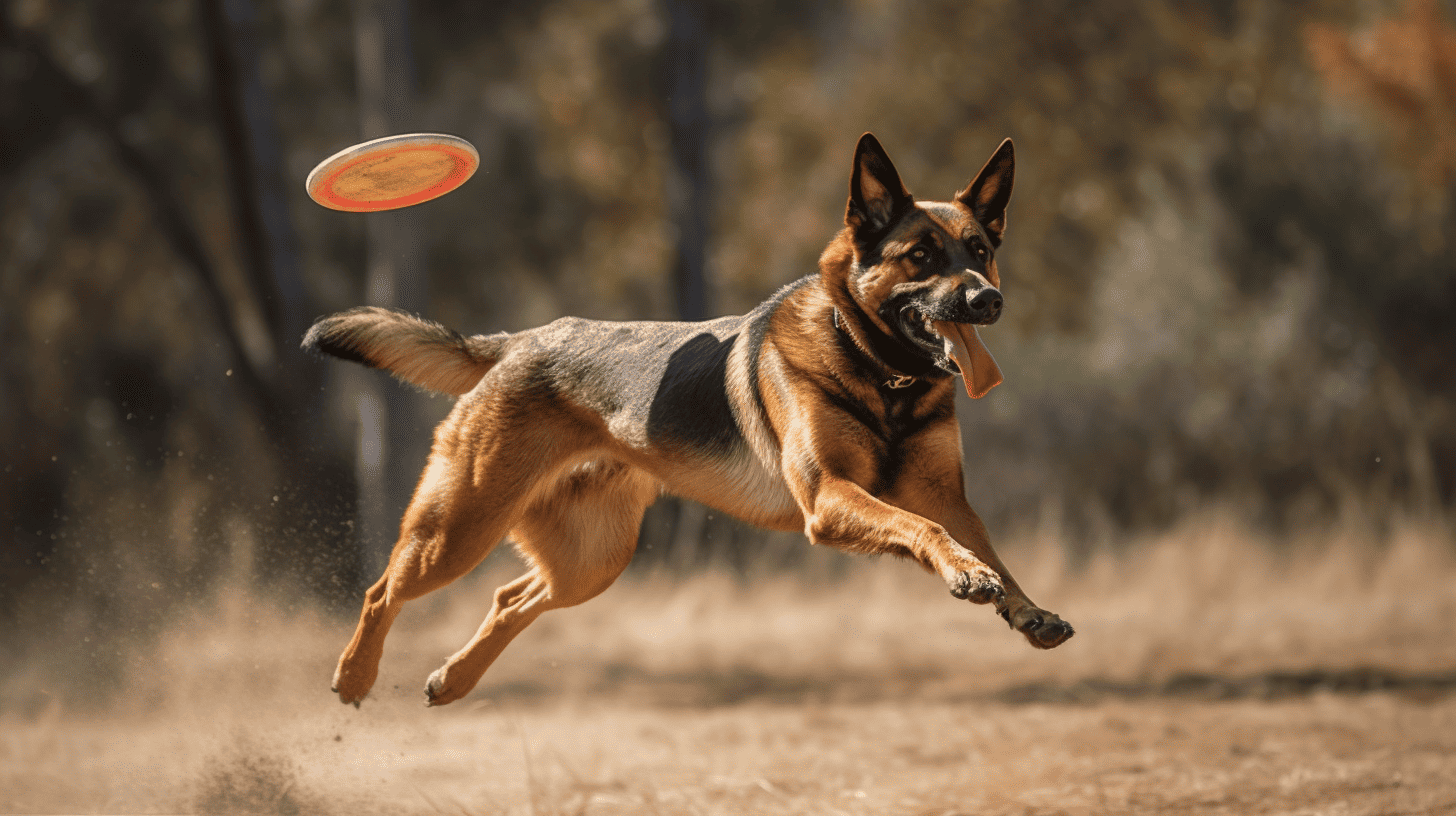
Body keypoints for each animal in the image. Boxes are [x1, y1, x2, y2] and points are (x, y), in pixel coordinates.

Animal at [304, 134, 1071, 708]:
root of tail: (520, 341)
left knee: (508, 597)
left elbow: (987, 549)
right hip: (459, 529)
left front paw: (1024, 607)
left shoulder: (944, 494)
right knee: (382, 590)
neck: (878, 370)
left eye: (981, 251)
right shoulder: (831, 500)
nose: (989, 300)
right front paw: (967, 575)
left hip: (590, 560)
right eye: (922, 256)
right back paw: (354, 675)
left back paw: (453, 679)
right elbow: (927, 532)